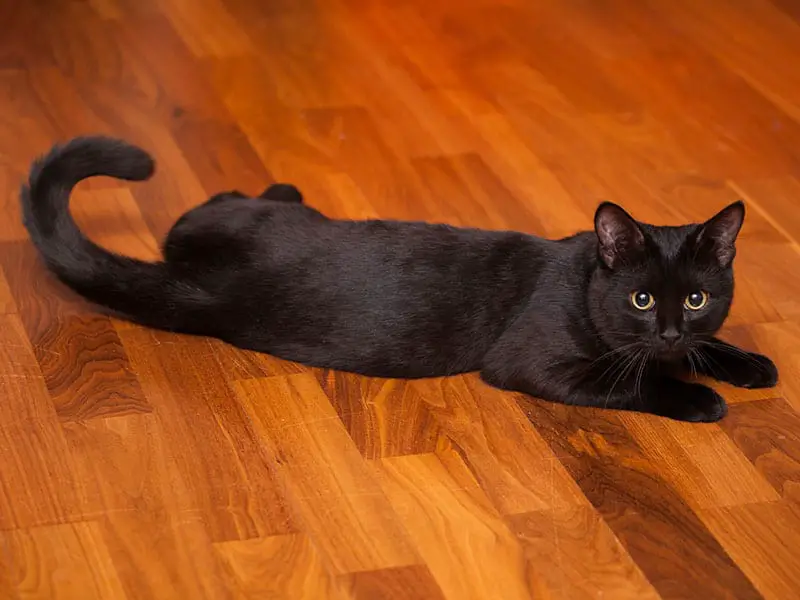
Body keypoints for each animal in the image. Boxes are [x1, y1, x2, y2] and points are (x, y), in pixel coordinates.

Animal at [21, 138, 780, 424]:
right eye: (641, 298)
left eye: (697, 297)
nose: (671, 329)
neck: (583, 278)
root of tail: (198, 284)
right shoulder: (535, 363)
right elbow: (631, 382)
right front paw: (702, 398)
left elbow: (703, 351)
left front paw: (750, 364)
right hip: (240, 216)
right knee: (209, 204)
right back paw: (283, 184)